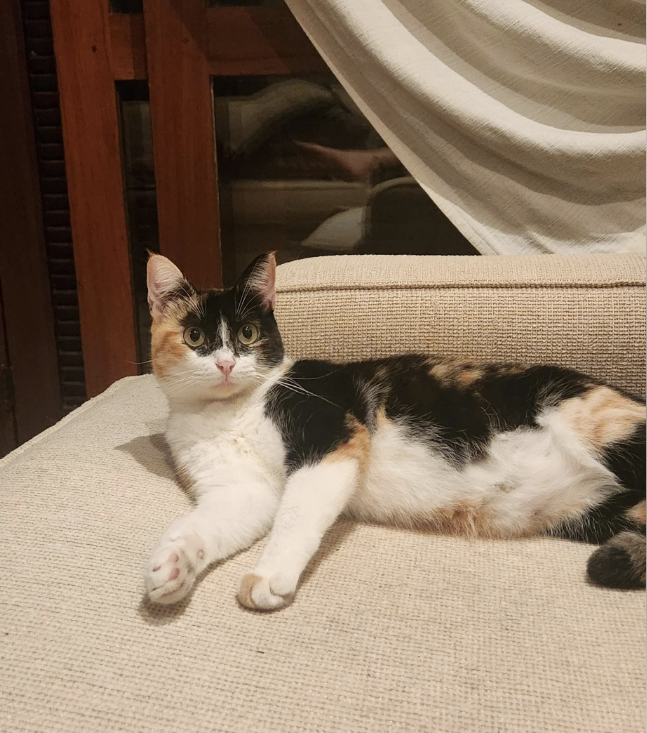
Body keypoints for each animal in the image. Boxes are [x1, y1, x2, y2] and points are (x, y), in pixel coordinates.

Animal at [144, 254, 644, 608]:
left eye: (247, 334)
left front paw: (268, 577)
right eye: (193, 337)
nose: (226, 364)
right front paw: (173, 566)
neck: (228, 413)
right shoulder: (241, 488)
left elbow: (297, 513)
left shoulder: (333, 434)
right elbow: (207, 524)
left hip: (598, 422)